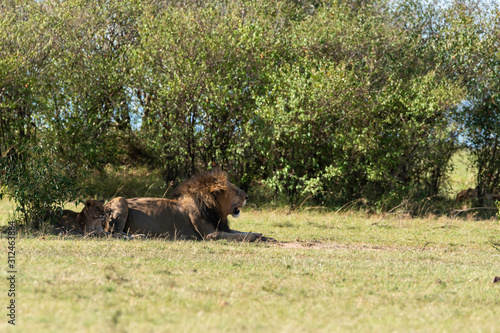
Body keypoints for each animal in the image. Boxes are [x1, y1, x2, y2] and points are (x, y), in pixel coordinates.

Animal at [100, 170, 276, 240]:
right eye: (235, 190)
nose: (247, 196)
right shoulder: (211, 235)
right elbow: (240, 236)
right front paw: (256, 237)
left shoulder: (221, 227)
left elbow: (241, 232)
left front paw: (266, 236)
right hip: (120, 199)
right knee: (115, 233)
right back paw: (139, 236)